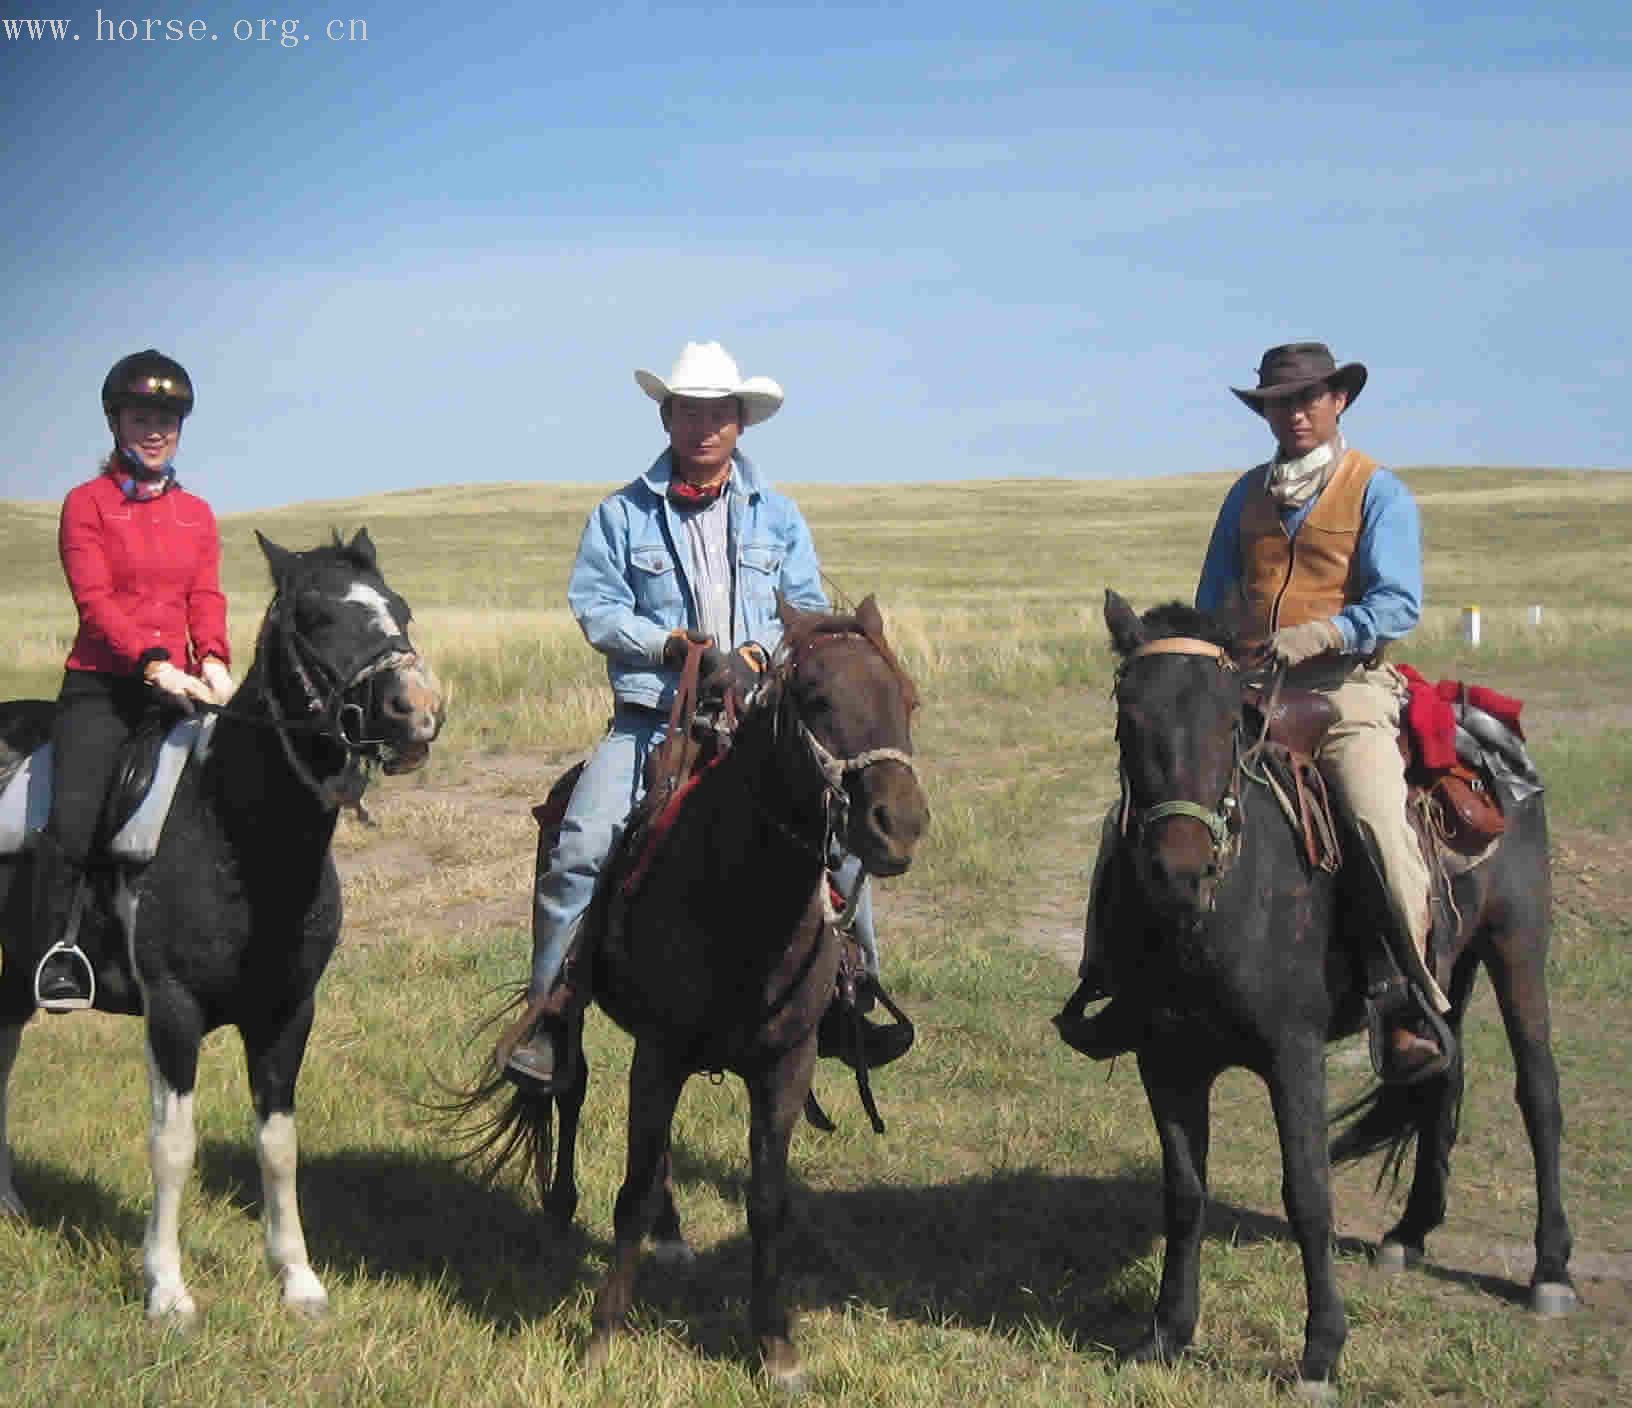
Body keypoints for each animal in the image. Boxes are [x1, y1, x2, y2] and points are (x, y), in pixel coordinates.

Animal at [0, 528, 447, 1318]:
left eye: (400, 609)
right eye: (313, 617)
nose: (416, 709)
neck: (232, 829)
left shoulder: (287, 1014)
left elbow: (279, 1145)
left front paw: (298, 1279)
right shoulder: (173, 1014)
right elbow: (172, 1145)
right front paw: (167, 1289)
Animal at [460, 593, 933, 1390]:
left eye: (907, 698)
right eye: (816, 699)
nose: (899, 825)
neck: (740, 896)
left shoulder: (785, 1065)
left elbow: (766, 1202)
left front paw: (775, 1346)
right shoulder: (661, 1052)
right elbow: (629, 1191)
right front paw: (602, 1336)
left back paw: (672, 1235)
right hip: (579, 1001)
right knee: (569, 1084)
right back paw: (558, 1210)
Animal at [1083, 590, 1566, 1396]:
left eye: (1230, 719)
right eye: (1128, 716)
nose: (1178, 872)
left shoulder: (1293, 1056)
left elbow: (1307, 1192)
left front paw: (1321, 1351)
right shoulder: (1166, 1059)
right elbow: (1184, 1193)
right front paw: (1166, 1332)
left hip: (1517, 946)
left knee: (1539, 1093)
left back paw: (1551, 1269)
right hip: (1439, 977)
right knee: (1441, 1075)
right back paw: (1410, 1232)